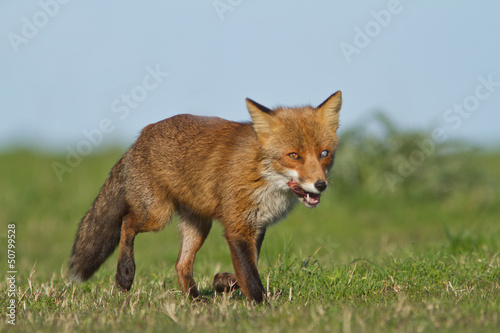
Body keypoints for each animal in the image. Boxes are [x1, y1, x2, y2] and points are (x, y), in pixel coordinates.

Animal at [70, 91, 342, 300]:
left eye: (324, 153)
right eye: (294, 155)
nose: (320, 185)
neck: (263, 175)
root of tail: (141, 136)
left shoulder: (256, 226)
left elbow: (245, 269)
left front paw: (222, 282)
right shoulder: (237, 227)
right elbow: (250, 276)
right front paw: (261, 307)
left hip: (199, 226)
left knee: (181, 265)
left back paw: (195, 300)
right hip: (157, 215)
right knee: (126, 223)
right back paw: (125, 275)